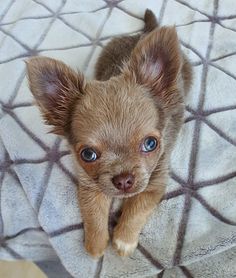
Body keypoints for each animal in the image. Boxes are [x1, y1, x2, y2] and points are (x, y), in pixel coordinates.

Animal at [26, 9, 192, 258]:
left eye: (151, 144)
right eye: (88, 155)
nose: (124, 180)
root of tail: (147, 31)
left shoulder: (154, 182)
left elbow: (137, 209)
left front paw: (124, 239)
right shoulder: (89, 184)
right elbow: (94, 213)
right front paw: (95, 245)